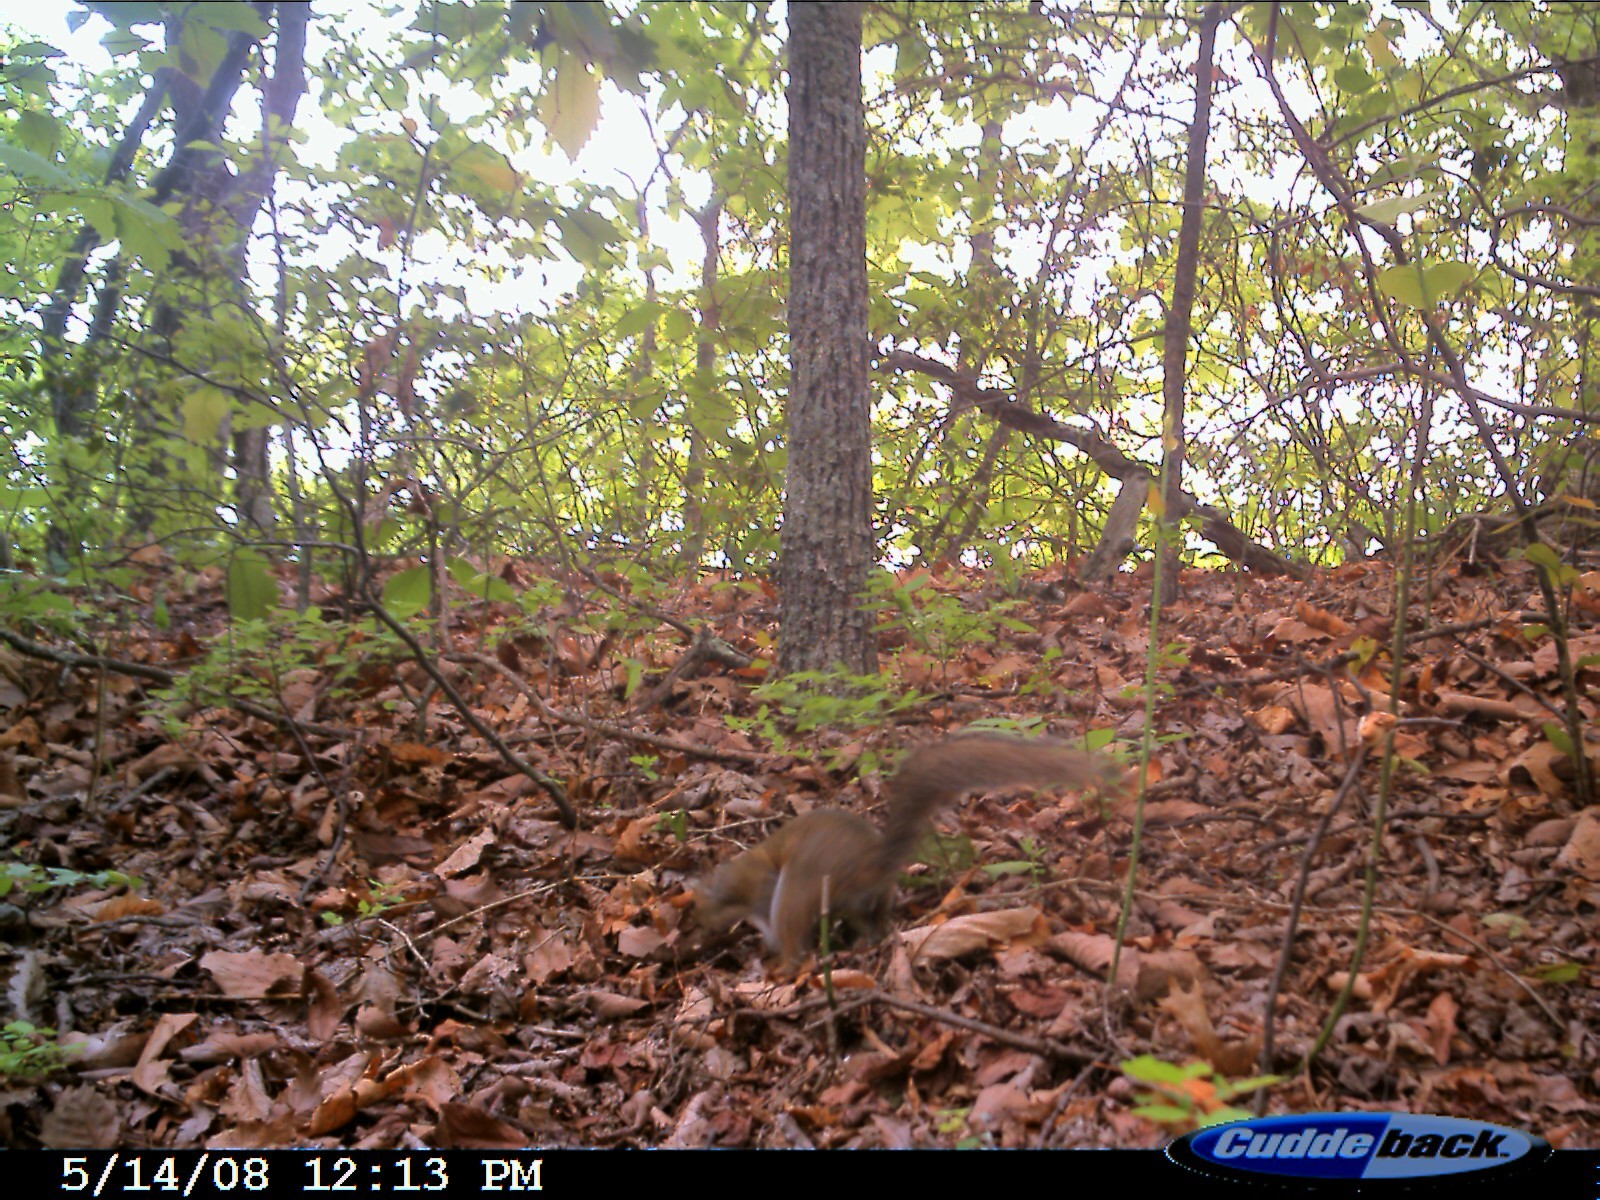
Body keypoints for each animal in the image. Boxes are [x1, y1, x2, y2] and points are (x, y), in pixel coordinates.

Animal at [694, 732, 1120, 966]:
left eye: (709, 902)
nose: (700, 930)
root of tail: (870, 865)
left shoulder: (762, 890)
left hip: (802, 885)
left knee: (798, 935)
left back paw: (786, 967)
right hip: (874, 898)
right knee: (872, 922)